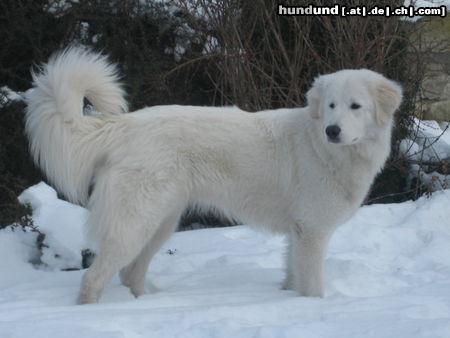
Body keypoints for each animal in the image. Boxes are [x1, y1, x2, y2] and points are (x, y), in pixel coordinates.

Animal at [24, 46, 402, 304]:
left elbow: (293, 276)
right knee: (95, 278)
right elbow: (312, 286)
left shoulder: (297, 233)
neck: (322, 148)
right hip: (135, 224)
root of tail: (124, 124)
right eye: (331, 106)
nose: (332, 130)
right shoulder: (311, 232)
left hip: (162, 222)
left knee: (130, 273)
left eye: (355, 106)